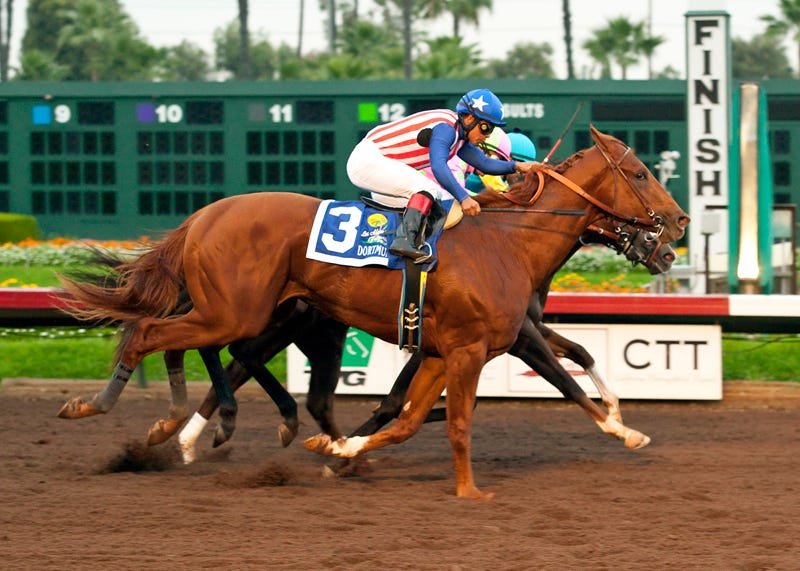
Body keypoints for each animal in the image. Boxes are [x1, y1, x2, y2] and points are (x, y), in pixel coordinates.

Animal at [61, 126, 688, 500]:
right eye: (639, 173)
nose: (677, 228)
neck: (509, 239)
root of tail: (203, 215)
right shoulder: (482, 345)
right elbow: (543, 388)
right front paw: (621, 429)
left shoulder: (451, 347)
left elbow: (409, 415)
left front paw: (339, 452)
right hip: (244, 312)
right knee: (158, 333)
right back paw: (117, 411)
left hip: (258, 314)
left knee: (195, 345)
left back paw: (188, 428)